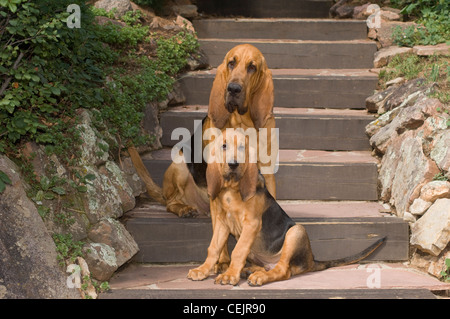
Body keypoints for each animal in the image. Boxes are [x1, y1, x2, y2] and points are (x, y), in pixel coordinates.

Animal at [130, 43, 276, 219]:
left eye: (252, 67)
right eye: (231, 63)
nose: (233, 89)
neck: (242, 123)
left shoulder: (267, 171)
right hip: (179, 165)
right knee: (170, 203)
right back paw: (184, 209)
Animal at [186, 131, 386, 288]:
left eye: (242, 148)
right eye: (224, 146)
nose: (233, 164)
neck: (231, 189)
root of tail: (311, 260)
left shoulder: (251, 224)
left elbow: (238, 250)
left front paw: (229, 275)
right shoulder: (222, 223)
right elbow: (213, 248)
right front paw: (202, 270)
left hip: (296, 232)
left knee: (283, 270)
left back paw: (259, 276)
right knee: (270, 266)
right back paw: (250, 270)